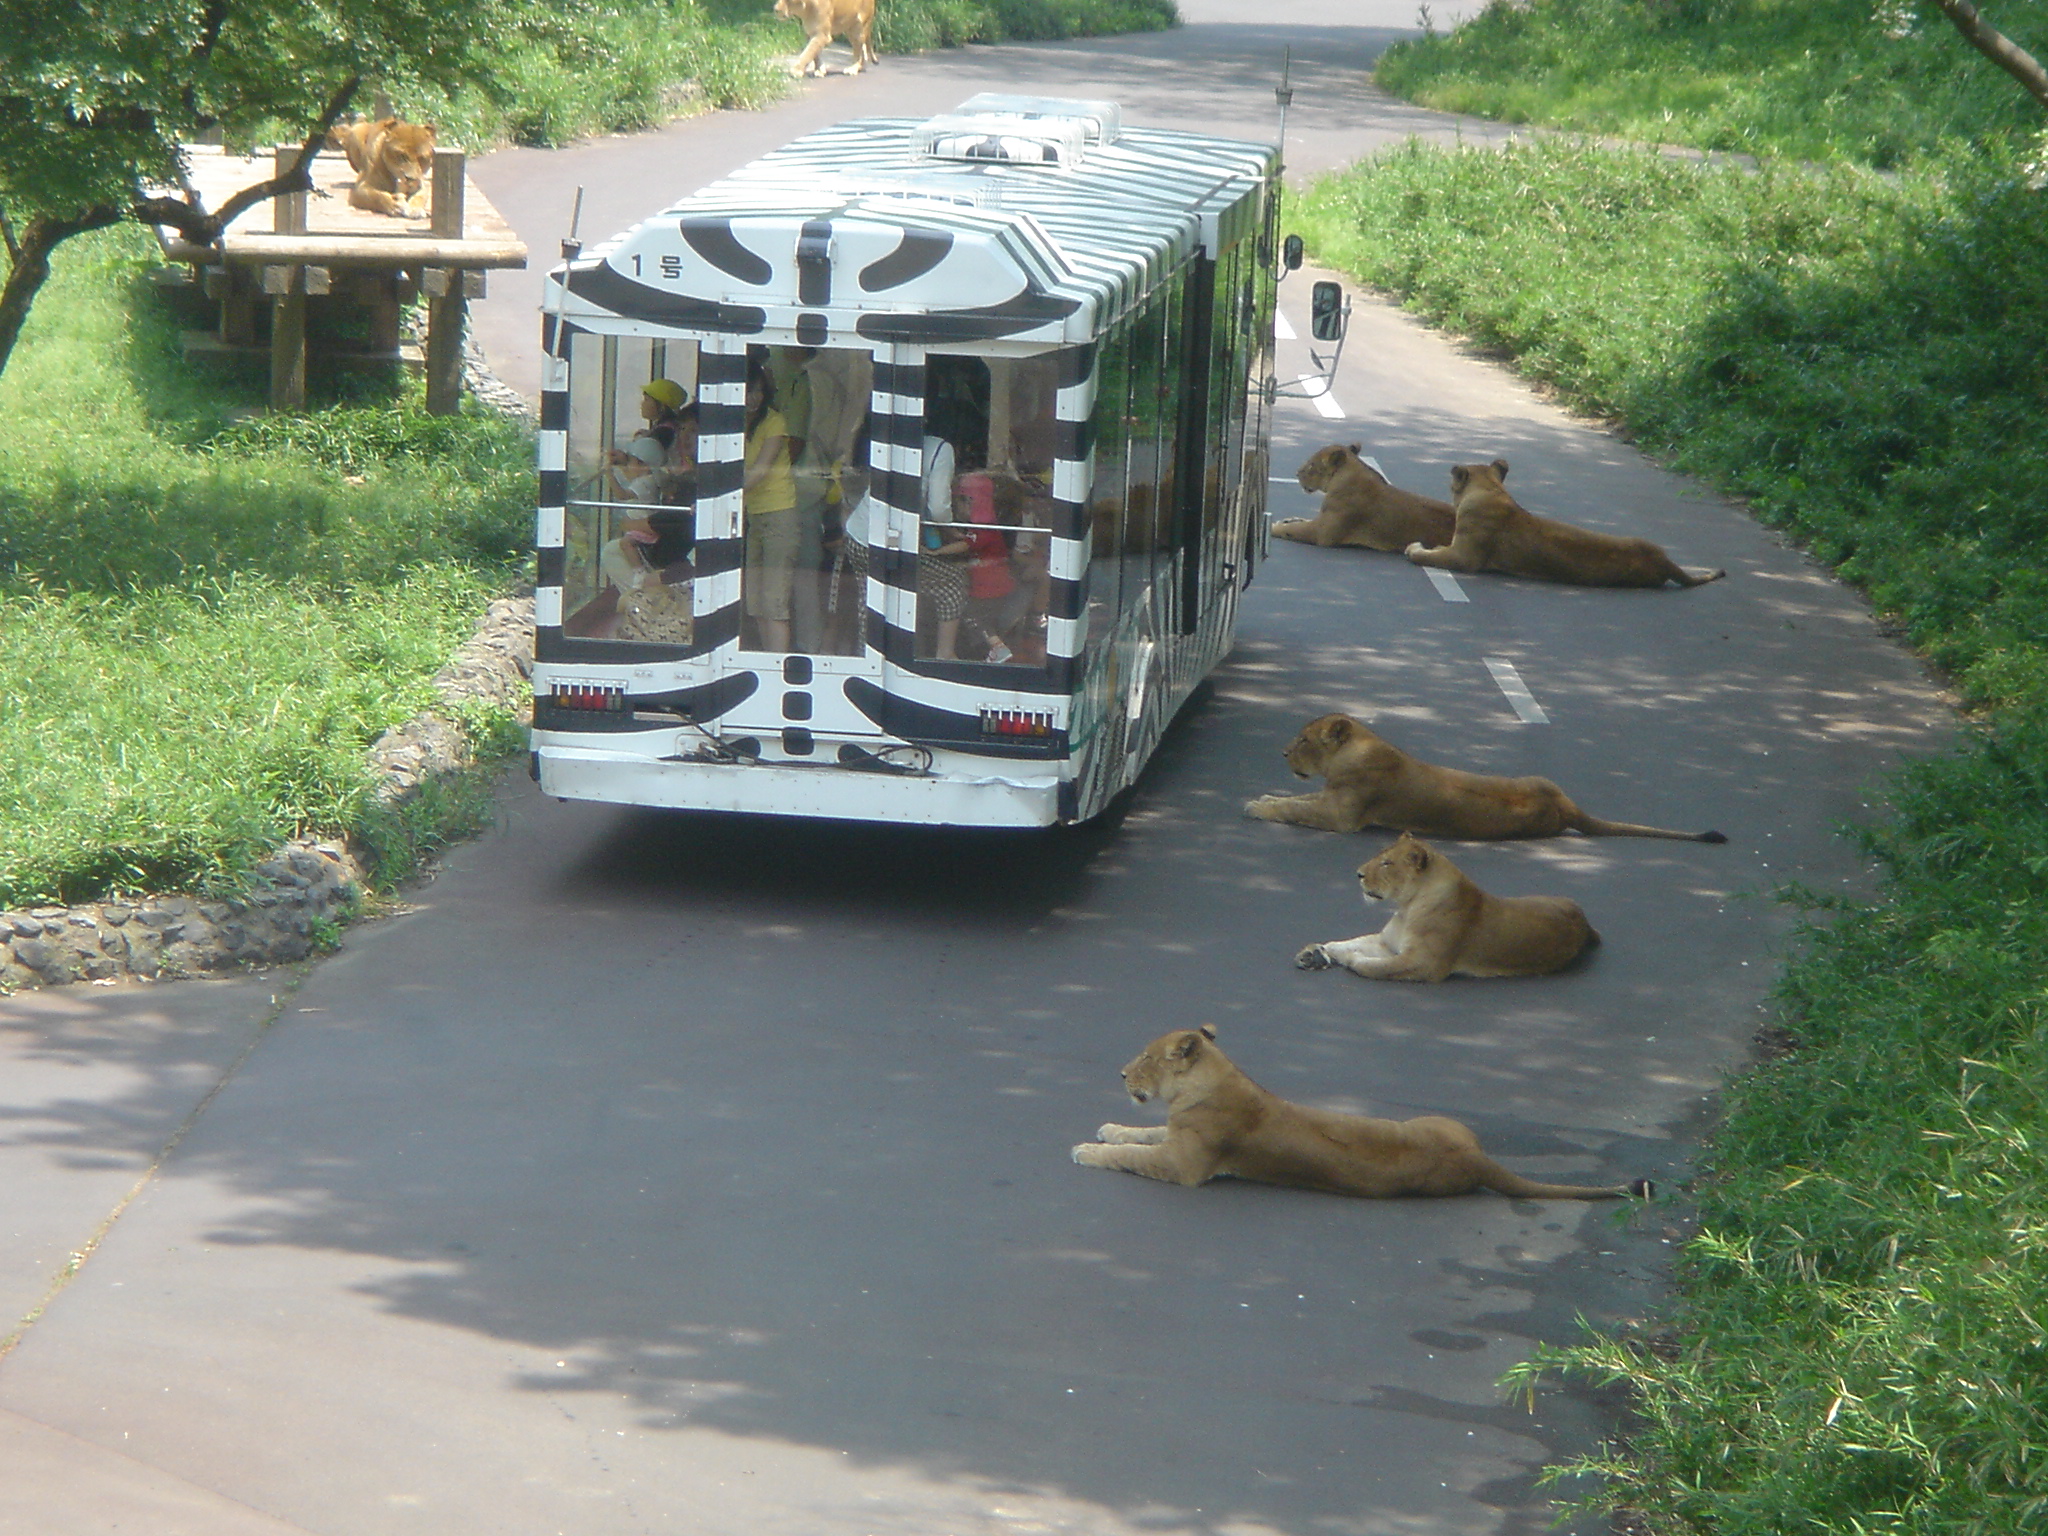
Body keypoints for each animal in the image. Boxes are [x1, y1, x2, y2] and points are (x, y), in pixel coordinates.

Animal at [1073, 1028, 1646, 1212]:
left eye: (1146, 1058)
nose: (1121, 1074)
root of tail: (1476, 1158)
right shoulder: (1173, 1133)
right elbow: (1138, 1133)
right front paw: (1107, 1127)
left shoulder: (1184, 1165)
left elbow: (1131, 1155)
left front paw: (1087, 1149)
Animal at [1245, 716, 1728, 847]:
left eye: (1303, 740)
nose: (1283, 753)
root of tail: (1567, 806)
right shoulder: (1329, 797)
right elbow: (1297, 798)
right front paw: (1266, 794)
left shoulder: (1342, 816)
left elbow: (1296, 808)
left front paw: (1257, 805)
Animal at [1261, 444, 1458, 552]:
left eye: (1311, 465)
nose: (1296, 473)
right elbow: (1300, 520)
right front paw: (1287, 519)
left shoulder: (1321, 532)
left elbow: (1294, 529)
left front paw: (1273, 527)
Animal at [1294, 843, 1597, 987]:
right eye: (1381, 856)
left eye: (1387, 863)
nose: (1357, 874)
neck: (1407, 907)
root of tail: (1584, 919)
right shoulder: (1386, 943)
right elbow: (1348, 942)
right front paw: (1315, 953)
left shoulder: (1424, 963)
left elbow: (1375, 967)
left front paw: (1353, 960)